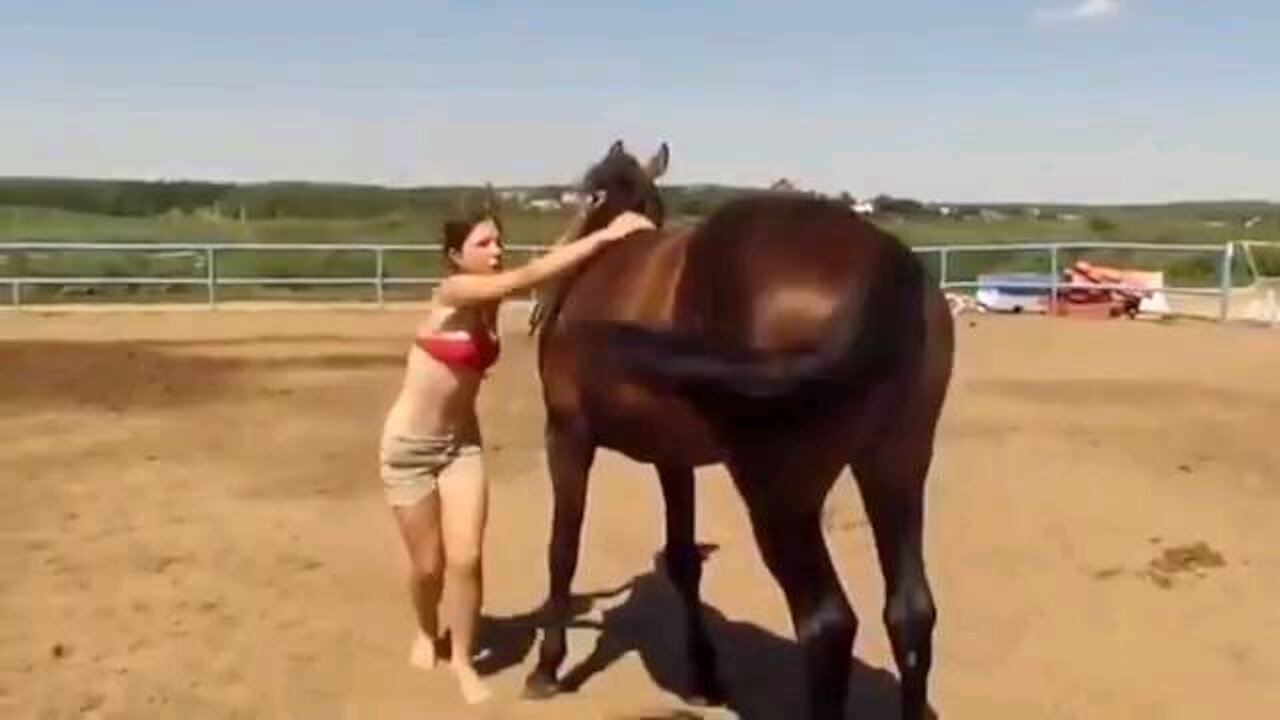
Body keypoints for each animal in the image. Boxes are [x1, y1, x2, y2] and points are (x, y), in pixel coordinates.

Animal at [524, 141, 957, 717]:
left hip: (779, 495)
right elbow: (683, 560)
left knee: (827, 625)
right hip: (895, 468)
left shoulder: (567, 435)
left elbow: (562, 549)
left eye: (586, 192)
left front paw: (546, 668)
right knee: (910, 612)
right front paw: (705, 676)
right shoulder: (672, 456)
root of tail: (879, 267)